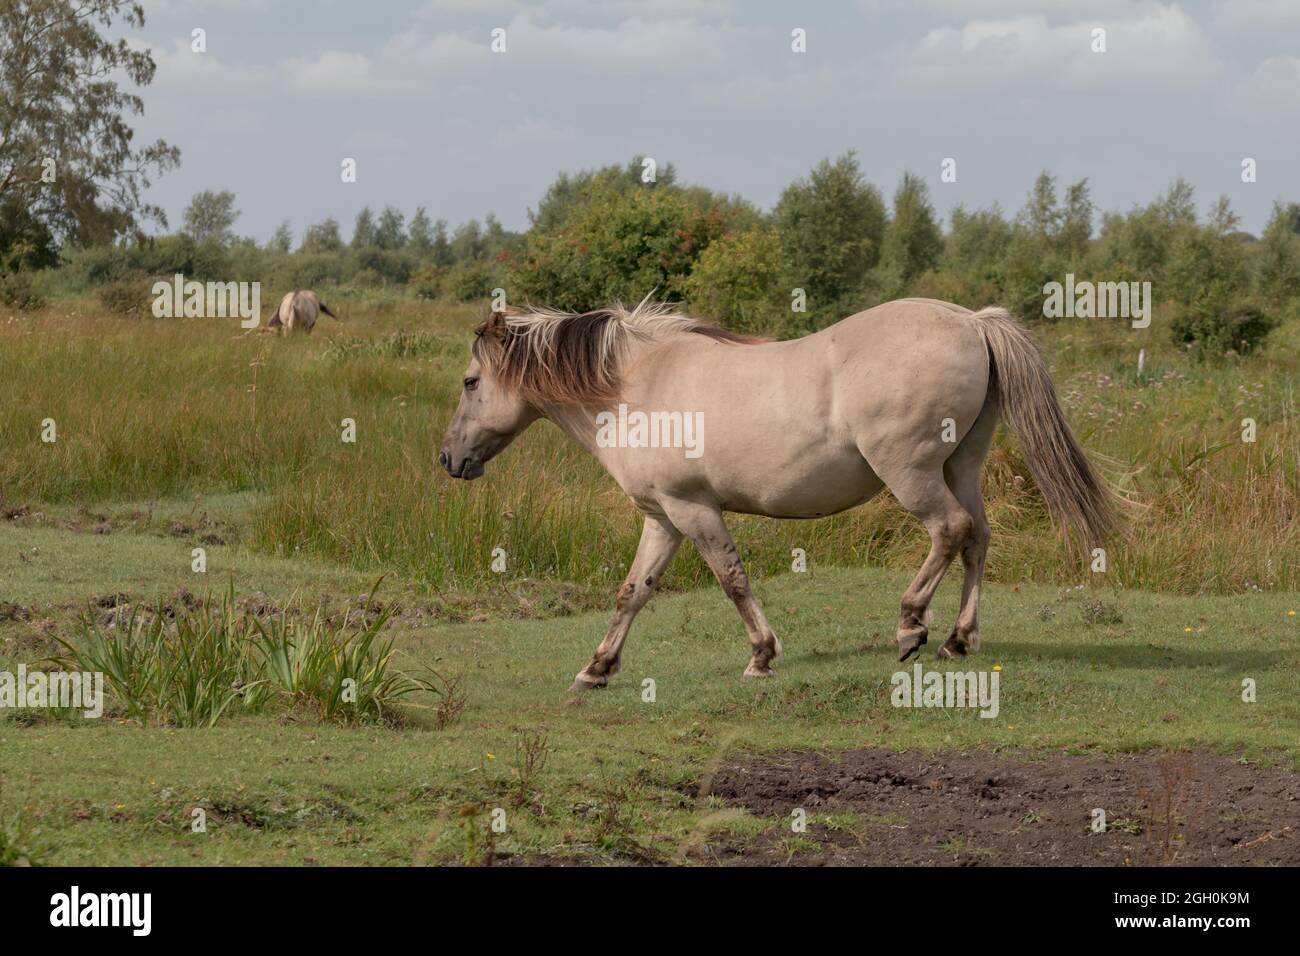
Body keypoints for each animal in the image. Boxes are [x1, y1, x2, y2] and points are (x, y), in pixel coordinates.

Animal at [434, 297, 1118, 686]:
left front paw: (761, 656)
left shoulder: (693, 509)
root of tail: (970, 323)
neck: (636, 386)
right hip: (962, 468)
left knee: (950, 532)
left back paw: (911, 627)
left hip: (913, 473)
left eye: (470, 382)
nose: (449, 458)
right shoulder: (663, 517)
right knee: (978, 539)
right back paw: (957, 639)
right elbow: (634, 591)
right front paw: (597, 668)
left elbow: (732, 579)